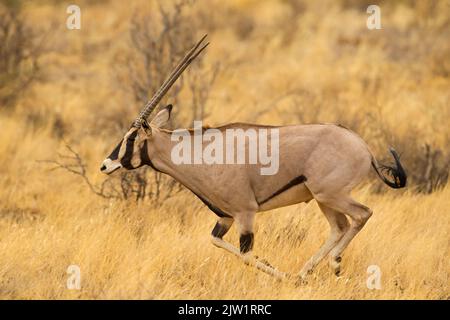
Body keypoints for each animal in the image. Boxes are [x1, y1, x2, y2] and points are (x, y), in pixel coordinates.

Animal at [100, 34, 406, 280]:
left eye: (131, 137)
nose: (105, 165)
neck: (198, 152)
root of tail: (364, 148)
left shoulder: (245, 213)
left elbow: (246, 254)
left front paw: (278, 274)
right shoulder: (225, 217)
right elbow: (216, 242)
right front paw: (281, 271)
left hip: (331, 194)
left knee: (362, 215)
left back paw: (331, 264)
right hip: (323, 199)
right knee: (339, 227)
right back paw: (304, 273)